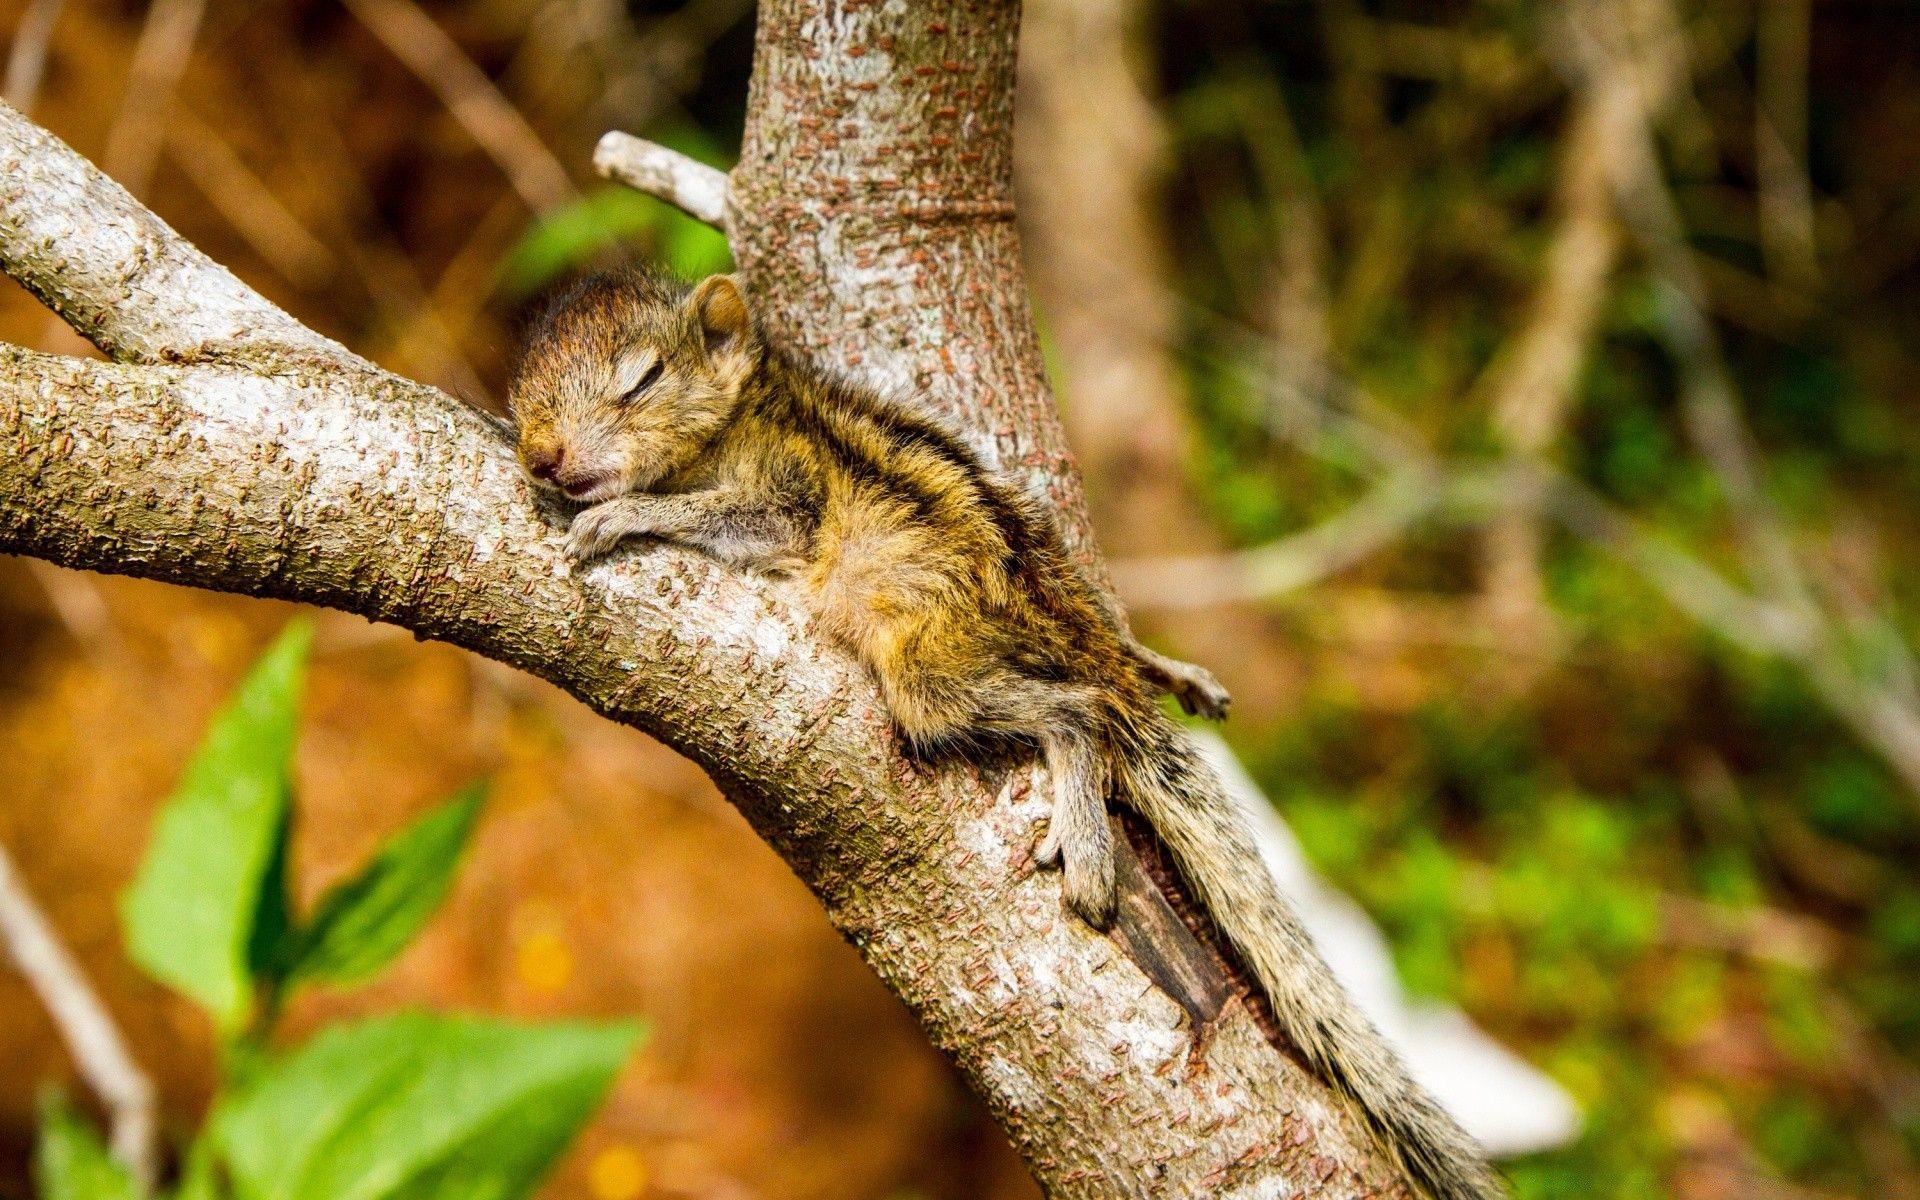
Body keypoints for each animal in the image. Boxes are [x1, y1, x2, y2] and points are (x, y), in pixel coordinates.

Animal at [507, 267, 1504, 1200]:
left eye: (641, 380)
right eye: (524, 390)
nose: (543, 457)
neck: (745, 411)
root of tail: (1071, 630)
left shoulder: (784, 497)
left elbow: (724, 512)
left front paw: (621, 514)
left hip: (929, 675)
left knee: (1079, 712)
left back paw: (1091, 841)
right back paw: (1162, 673)